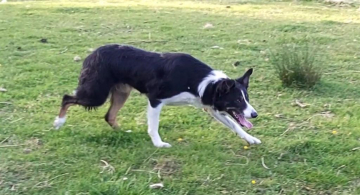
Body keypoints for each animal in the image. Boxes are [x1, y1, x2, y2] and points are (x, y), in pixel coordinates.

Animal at [53, 44, 260, 148]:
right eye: (237, 100)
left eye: (247, 99)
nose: (255, 114)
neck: (202, 82)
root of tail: (93, 53)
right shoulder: (155, 100)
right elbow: (154, 127)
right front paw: (158, 144)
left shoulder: (210, 106)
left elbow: (235, 125)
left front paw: (250, 139)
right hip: (96, 94)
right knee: (66, 98)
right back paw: (59, 122)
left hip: (121, 93)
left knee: (109, 115)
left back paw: (123, 132)